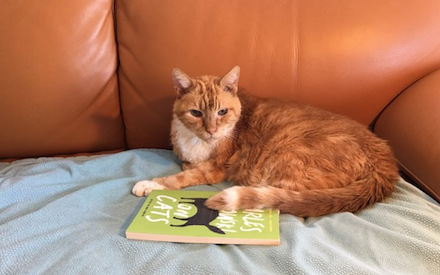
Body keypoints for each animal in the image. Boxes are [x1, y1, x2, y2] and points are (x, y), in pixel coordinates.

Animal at [132, 66, 398, 218]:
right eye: (196, 113)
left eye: (222, 112)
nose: (211, 131)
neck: (195, 141)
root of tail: (385, 159)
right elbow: (186, 165)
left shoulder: (214, 169)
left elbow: (180, 177)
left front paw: (151, 184)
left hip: (285, 155)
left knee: (281, 197)